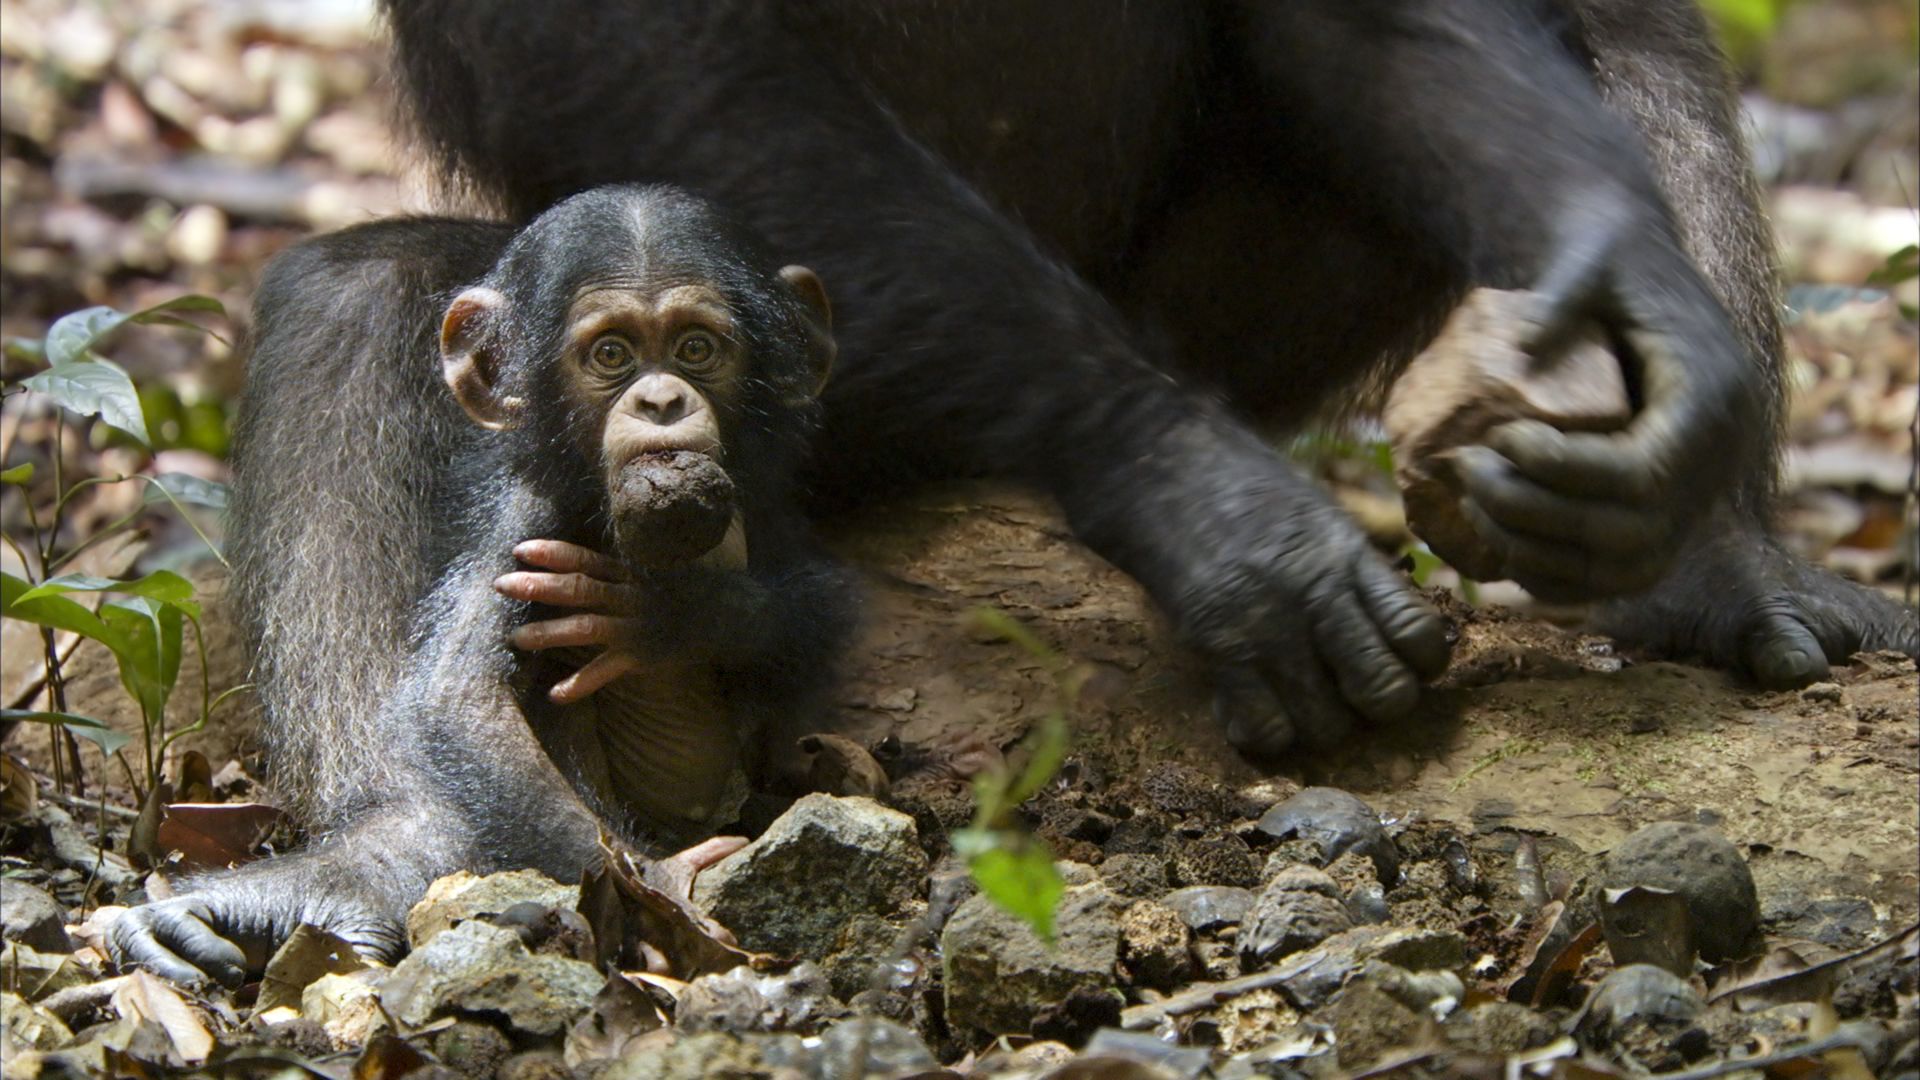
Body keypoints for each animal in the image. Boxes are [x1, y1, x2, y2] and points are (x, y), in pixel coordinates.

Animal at [110, 187, 848, 983]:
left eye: (696, 349)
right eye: (611, 354)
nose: (660, 400)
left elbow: (815, 611)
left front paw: (669, 617)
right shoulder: (522, 520)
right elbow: (461, 701)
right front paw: (658, 892)